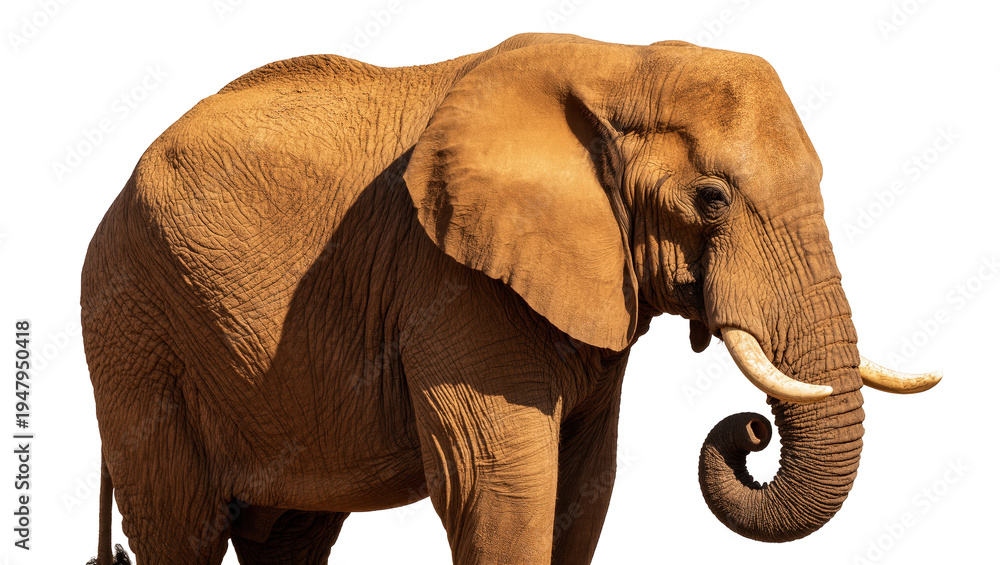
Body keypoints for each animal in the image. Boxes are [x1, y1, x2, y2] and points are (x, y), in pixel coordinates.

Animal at [81, 33, 941, 564]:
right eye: (711, 200)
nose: (753, 430)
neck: (621, 64)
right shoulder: (447, 280)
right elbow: (496, 482)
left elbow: (583, 486)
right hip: (134, 329)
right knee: (179, 527)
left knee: (289, 537)